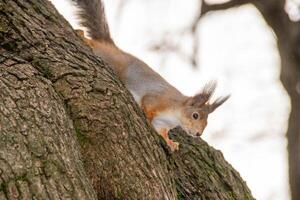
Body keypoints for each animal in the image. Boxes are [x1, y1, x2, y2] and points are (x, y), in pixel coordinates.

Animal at [71, 0, 229, 151]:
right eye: (195, 115)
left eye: (207, 121)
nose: (198, 134)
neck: (175, 114)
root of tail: (115, 49)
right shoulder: (157, 99)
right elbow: (147, 104)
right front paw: (147, 117)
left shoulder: (162, 123)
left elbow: (162, 132)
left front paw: (170, 142)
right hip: (109, 58)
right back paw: (83, 37)